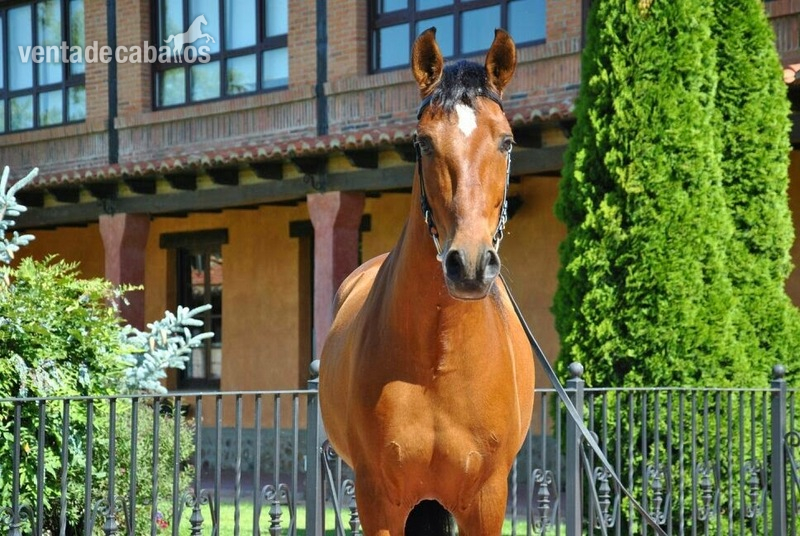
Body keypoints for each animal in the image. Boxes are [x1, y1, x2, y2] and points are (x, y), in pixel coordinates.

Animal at [319, 28, 535, 535]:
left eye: (507, 142)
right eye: (423, 143)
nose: (469, 264)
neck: (440, 359)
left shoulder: (486, 502)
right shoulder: (378, 500)